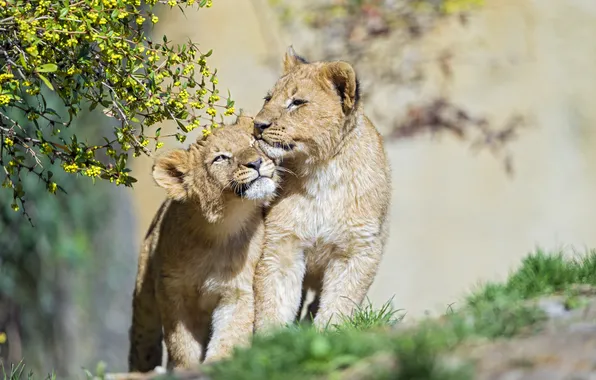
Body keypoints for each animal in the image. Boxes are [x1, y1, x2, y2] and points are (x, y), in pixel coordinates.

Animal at [127, 119, 280, 372]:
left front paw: (219, 364)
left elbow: (230, 334)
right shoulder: (172, 291)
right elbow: (181, 342)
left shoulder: (236, 291)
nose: (256, 162)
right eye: (221, 158)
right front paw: (185, 369)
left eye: (253, 143)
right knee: (142, 339)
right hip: (144, 297)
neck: (218, 231)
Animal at [251, 47, 392, 332]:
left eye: (297, 102)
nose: (257, 125)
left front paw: (327, 332)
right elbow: (274, 299)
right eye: (268, 98)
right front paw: (269, 338)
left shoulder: (357, 249)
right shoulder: (282, 243)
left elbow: (340, 301)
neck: (320, 171)